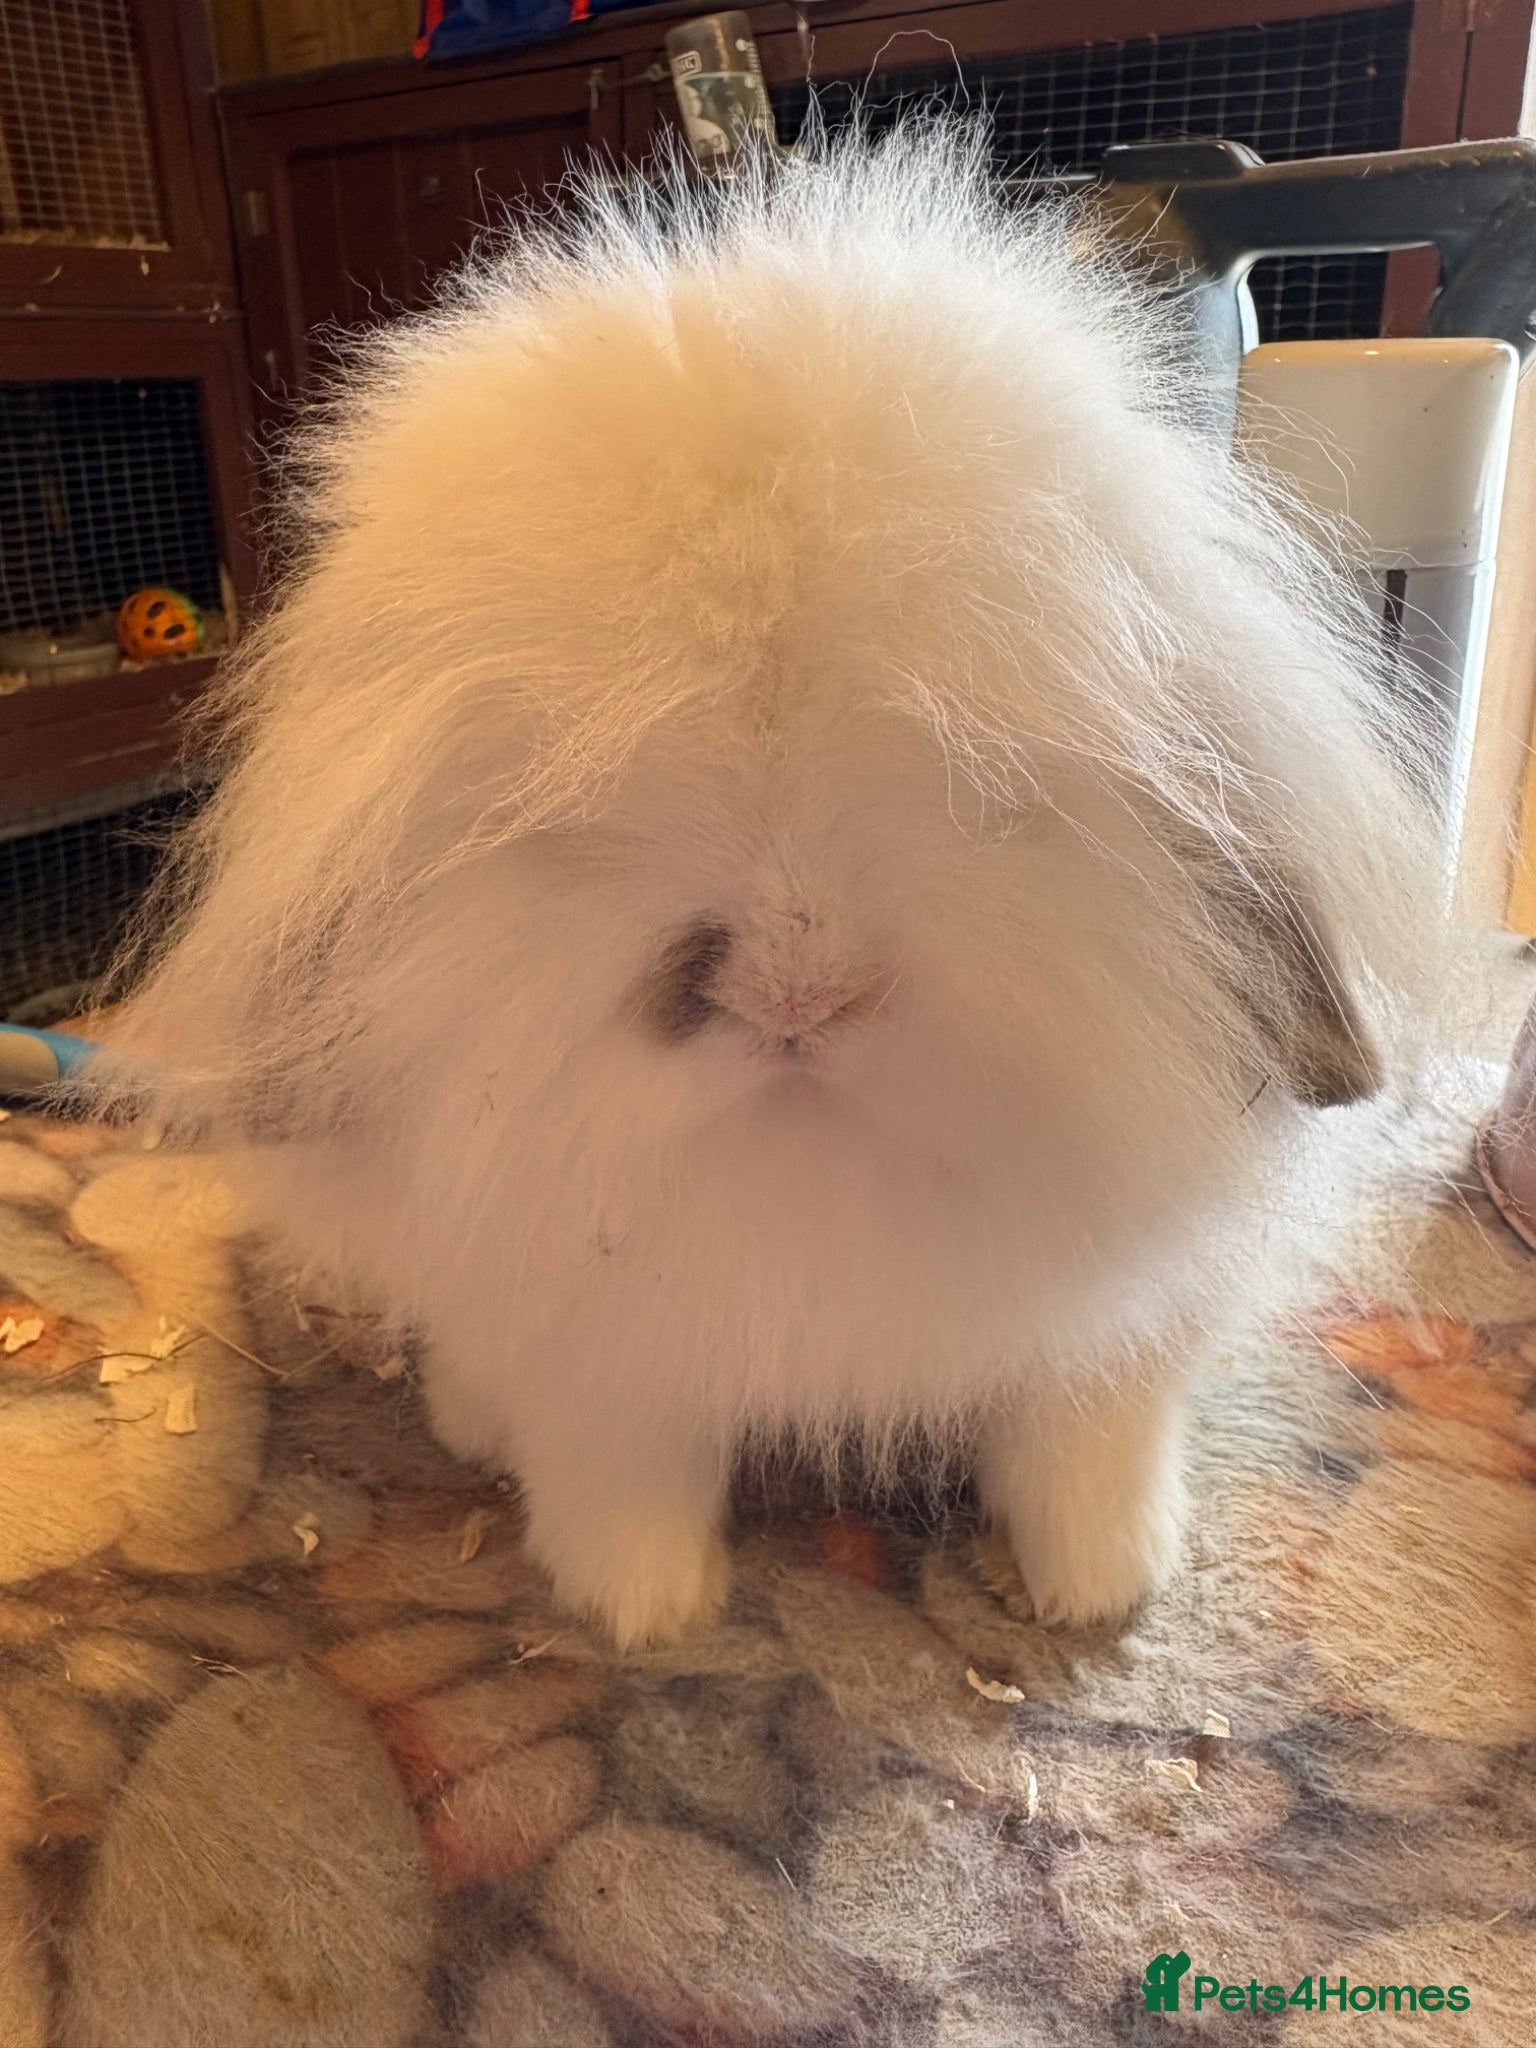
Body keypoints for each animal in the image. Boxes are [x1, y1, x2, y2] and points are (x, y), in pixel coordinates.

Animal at [92, 126, 1442, 1648]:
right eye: (569, 812)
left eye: (990, 788)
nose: (796, 994)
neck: (807, 1179)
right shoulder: (595, 1352)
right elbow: (622, 1470)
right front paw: (646, 1612)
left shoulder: (1116, 1328)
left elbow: (1086, 1441)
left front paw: (1099, 1592)